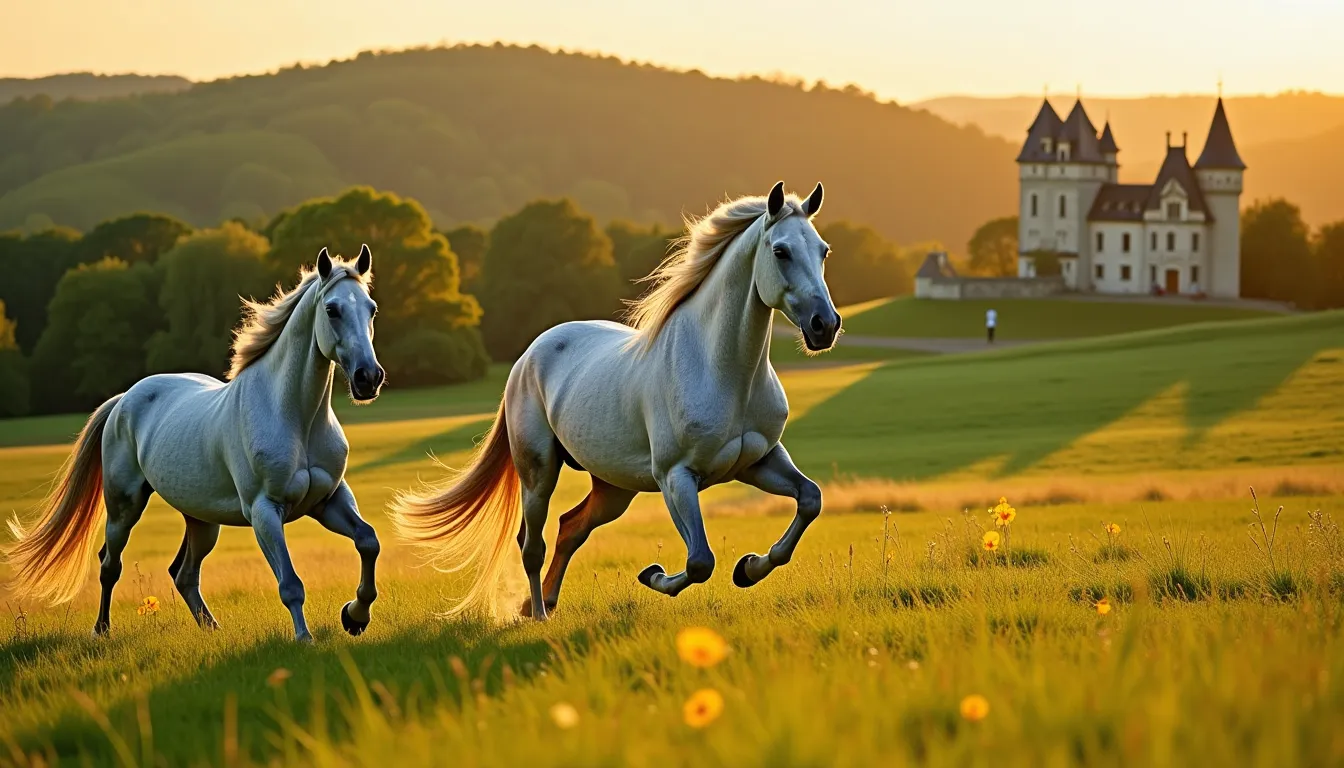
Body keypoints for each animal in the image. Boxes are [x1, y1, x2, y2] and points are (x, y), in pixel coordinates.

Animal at [9, 247, 389, 642]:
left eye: (371, 308)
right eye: (332, 309)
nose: (368, 378)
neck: (295, 417)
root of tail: (124, 399)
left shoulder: (328, 501)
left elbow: (368, 541)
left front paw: (355, 616)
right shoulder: (265, 511)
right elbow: (290, 583)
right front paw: (305, 638)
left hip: (202, 520)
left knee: (184, 574)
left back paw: (212, 629)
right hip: (123, 507)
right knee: (110, 565)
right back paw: (102, 630)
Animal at [389, 182, 838, 621]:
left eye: (823, 250)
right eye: (780, 251)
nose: (825, 326)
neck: (723, 373)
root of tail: (528, 357)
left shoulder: (758, 461)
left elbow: (810, 499)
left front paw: (749, 568)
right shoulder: (676, 477)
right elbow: (699, 562)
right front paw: (654, 575)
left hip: (613, 487)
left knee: (571, 527)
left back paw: (542, 603)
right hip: (538, 473)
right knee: (532, 545)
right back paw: (538, 614)